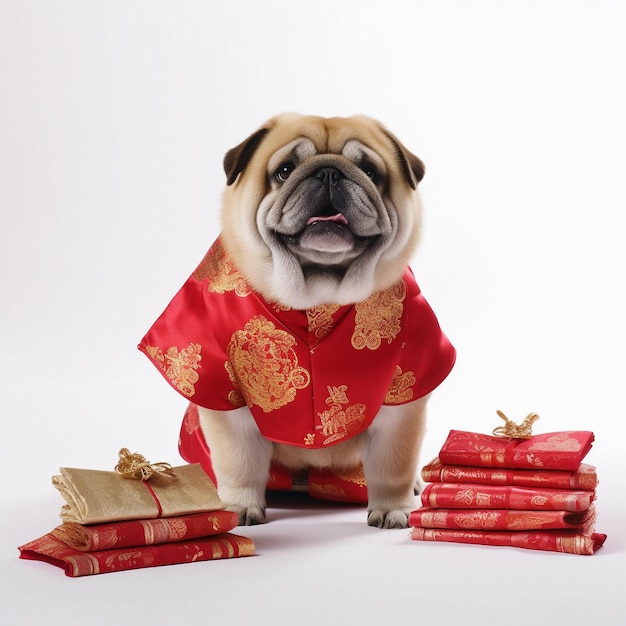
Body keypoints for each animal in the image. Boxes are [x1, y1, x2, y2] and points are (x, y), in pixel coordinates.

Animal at [139, 113, 454, 528]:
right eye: (284, 170)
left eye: (371, 171)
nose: (329, 173)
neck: (317, 290)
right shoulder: (226, 400)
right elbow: (238, 463)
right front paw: (239, 506)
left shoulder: (404, 396)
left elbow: (393, 465)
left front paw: (392, 508)